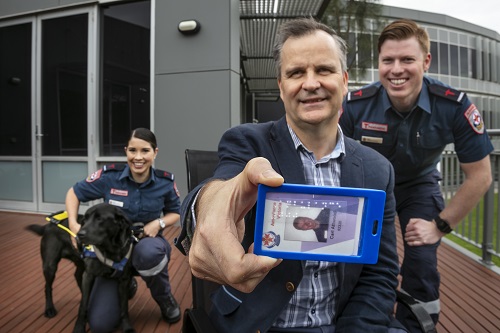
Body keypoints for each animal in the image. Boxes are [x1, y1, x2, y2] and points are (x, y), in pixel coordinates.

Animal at [73, 201, 136, 332]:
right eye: (85, 220)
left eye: (99, 219)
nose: (79, 234)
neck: (110, 251)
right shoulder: (88, 276)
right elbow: (83, 305)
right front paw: (79, 326)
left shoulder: (124, 280)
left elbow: (124, 307)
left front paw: (127, 326)